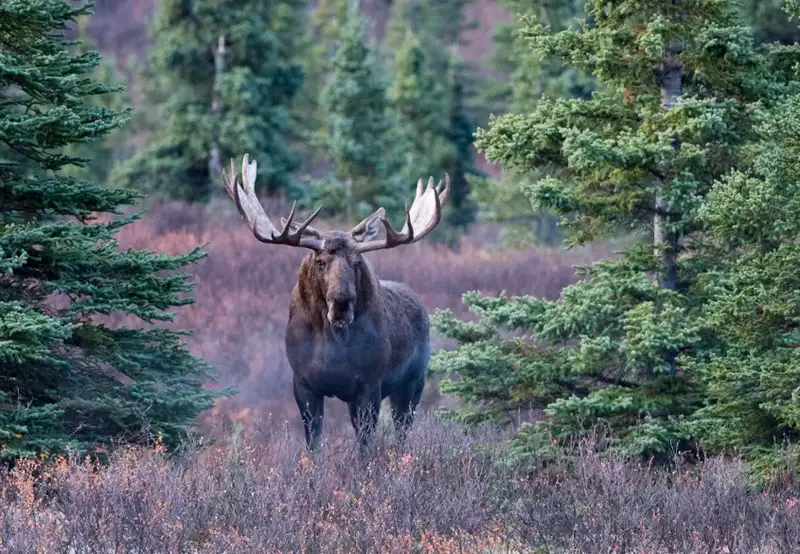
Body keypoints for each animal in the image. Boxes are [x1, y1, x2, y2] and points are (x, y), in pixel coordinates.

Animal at [221, 154, 449, 453]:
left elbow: (365, 445)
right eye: (320, 261)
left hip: (413, 382)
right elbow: (314, 444)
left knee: (402, 431)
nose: (341, 304)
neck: (332, 348)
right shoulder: (303, 384)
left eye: (357, 262)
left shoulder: (369, 385)